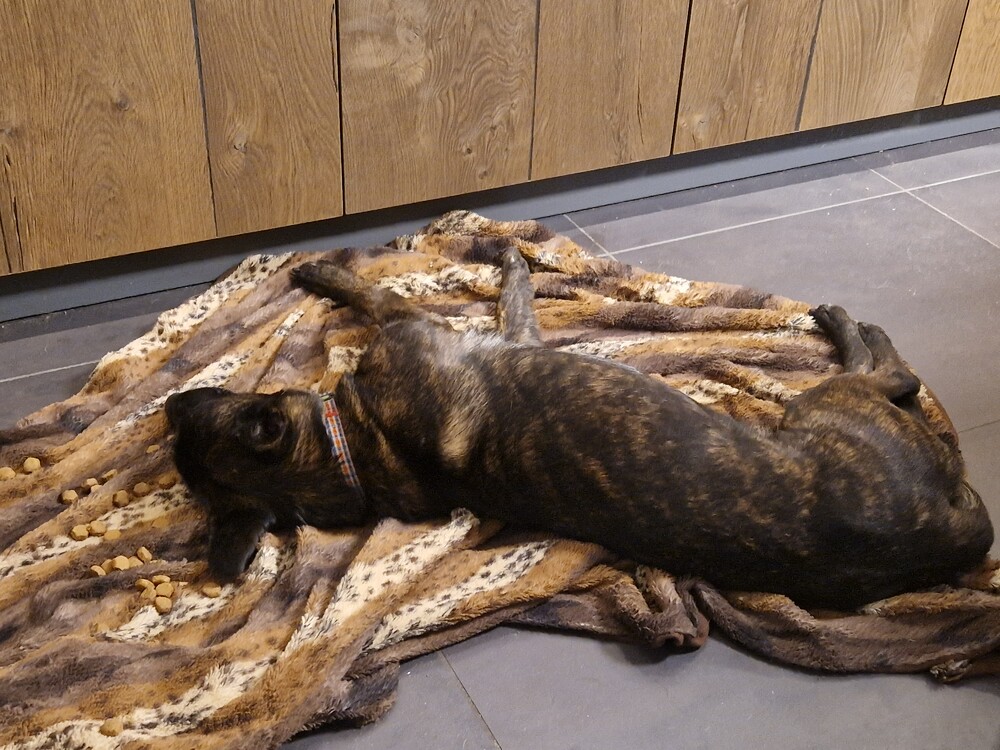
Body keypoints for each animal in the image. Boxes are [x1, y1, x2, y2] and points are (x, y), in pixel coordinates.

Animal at [165, 248, 993, 609]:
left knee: (902, 380)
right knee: (894, 374)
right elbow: (383, 289)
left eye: (196, 409)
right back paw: (846, 322)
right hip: (825, 407)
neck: (354, 455)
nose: (166, 409)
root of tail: (949, 533)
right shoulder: (449, 326)